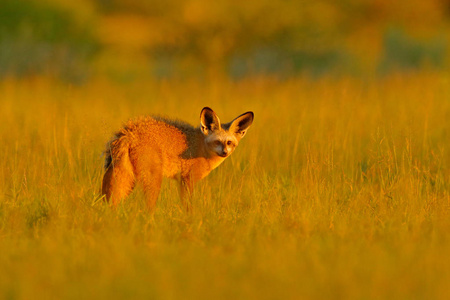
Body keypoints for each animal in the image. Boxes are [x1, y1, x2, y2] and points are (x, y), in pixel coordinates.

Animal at [103, 106, 255, 210]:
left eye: (229, 143)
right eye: (217, 142)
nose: (224, 152)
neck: (201, 147)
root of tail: (130, 132)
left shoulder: (182, 180)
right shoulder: (187, 179)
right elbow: (188, 207)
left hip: (125, 179)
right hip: (152, 181)